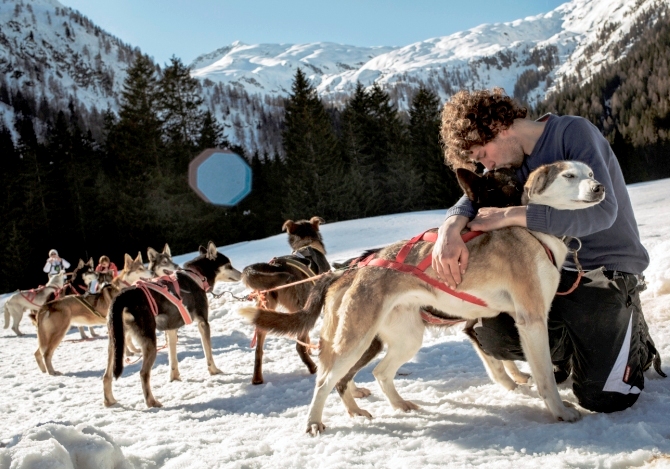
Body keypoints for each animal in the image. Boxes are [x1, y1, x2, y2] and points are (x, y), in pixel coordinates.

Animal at [103, 241, 243, 406]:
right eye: (228, 265)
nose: (242, 273)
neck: (197, 276)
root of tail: (122, 296)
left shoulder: (171, 329)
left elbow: (173, 358)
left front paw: (175, 377)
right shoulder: (203, 323)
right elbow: (208, 352)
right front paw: (214, 371)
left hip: (115, 342)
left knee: (106, 375)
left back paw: (109, 401)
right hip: (150, 343)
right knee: (143, 373)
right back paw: (152, 402)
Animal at [244, 216, 334, 384]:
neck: (306, 244)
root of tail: (277, 265)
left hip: (265, 313)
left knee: (258, 351)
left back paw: (257, 378)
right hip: (302, 307)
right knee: (298, 346)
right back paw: (312, 367)